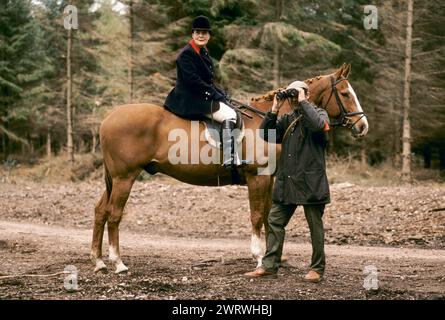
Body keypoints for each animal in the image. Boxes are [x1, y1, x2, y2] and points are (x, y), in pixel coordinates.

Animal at [90, 63, 368, 272]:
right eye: (345, 94)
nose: (362, 126)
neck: (267, 122)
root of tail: (108, 117)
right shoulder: (257, 178)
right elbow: (256, 216)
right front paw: (259, 258)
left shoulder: (268, 179)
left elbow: (267, 216)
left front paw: (275, 257)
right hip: (125, 177)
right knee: (114, 214)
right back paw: (118, 263)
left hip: (115, 179)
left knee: (101, 211)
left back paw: (99, 261)